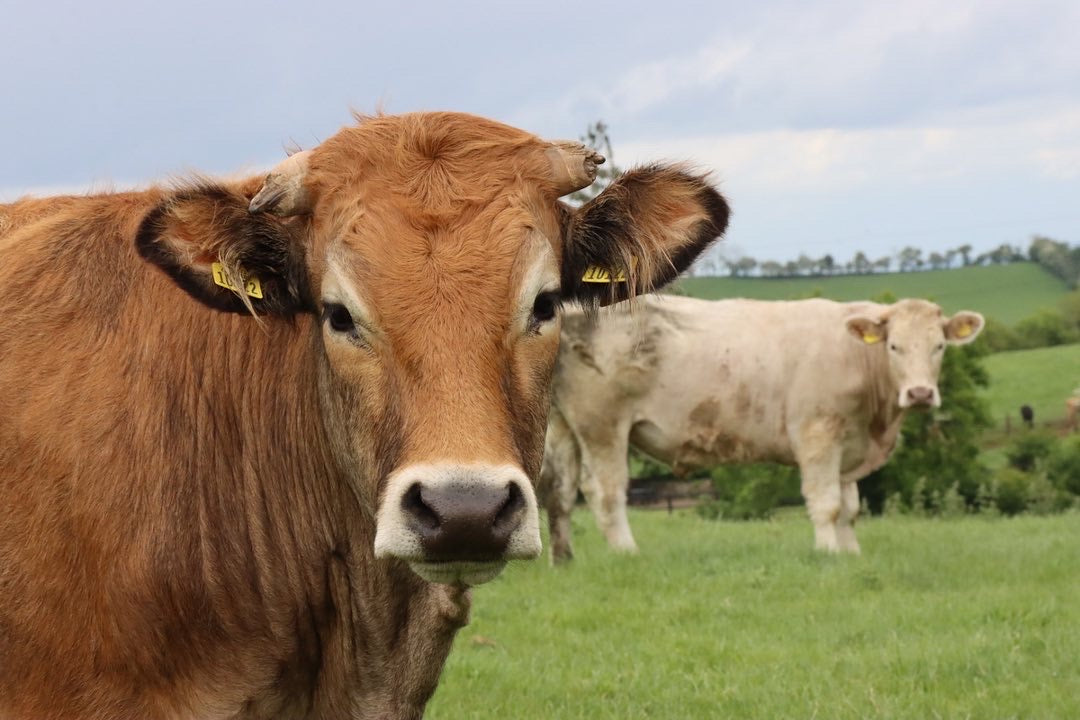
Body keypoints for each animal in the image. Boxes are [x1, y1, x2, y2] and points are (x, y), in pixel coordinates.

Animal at [544, 295, 984, 561]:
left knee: (561, 490)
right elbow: (827, 504)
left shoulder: (848, 447)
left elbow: (851, 509)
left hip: (563, 425)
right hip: (602, 425)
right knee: (604, 492)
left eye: (939, 347)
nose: (921, 393)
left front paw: (851, 553)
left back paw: (565, 559)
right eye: (894, 346)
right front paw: (828, 554)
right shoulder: (818, 435)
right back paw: (627, 553)